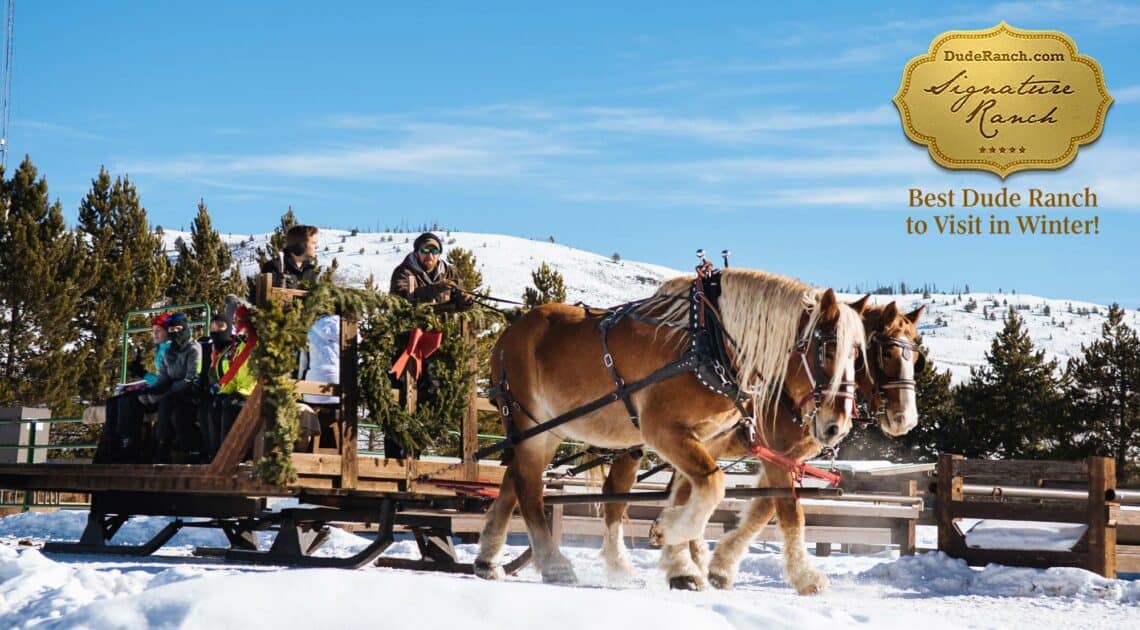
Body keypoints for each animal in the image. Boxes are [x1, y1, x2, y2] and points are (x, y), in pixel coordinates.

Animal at [471, 266, 861, 583]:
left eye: (858, 355)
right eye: (827, 350)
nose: (836, 427)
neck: (711, 342)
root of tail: (509, 334)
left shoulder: (703, 437)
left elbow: (692, 491)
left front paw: (680, 561)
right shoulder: (663, 430)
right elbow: (716, 486)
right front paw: (671, 533)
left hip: (545, 430)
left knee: (515, 480)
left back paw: (488, 558)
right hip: (530, 422)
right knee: (530, 490)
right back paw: (554, 565)